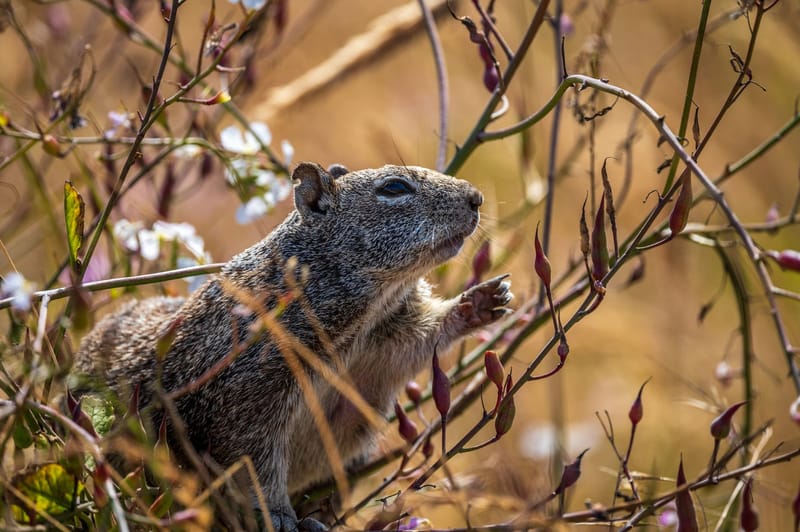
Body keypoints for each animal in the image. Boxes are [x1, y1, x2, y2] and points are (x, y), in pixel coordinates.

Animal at [74, 162, 513, 531]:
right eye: (394, 187)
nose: (476, 197)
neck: (364, 320)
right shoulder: (250, 390)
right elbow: (252, 460)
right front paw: (280, 517)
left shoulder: (384, 343)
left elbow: (419, 343)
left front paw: (479, 303)